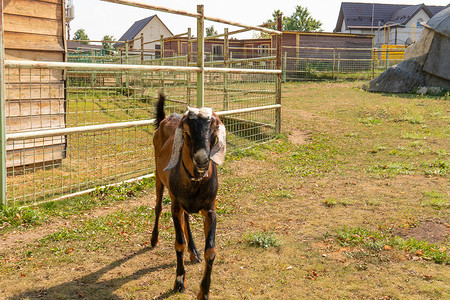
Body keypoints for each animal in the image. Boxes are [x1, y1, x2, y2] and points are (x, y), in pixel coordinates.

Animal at [151, 94, 227, 300]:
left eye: (213, 130)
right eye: (186, 132)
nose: (201, 160)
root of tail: (166, 118)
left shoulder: (210, 209)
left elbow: (211, 250)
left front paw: (204, 291)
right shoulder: (175, 206)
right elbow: (179, 244)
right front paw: (179, 282)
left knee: (186, 218)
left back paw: (194, 252)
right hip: (158, 176)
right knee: (158, 206)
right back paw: (153, 239)